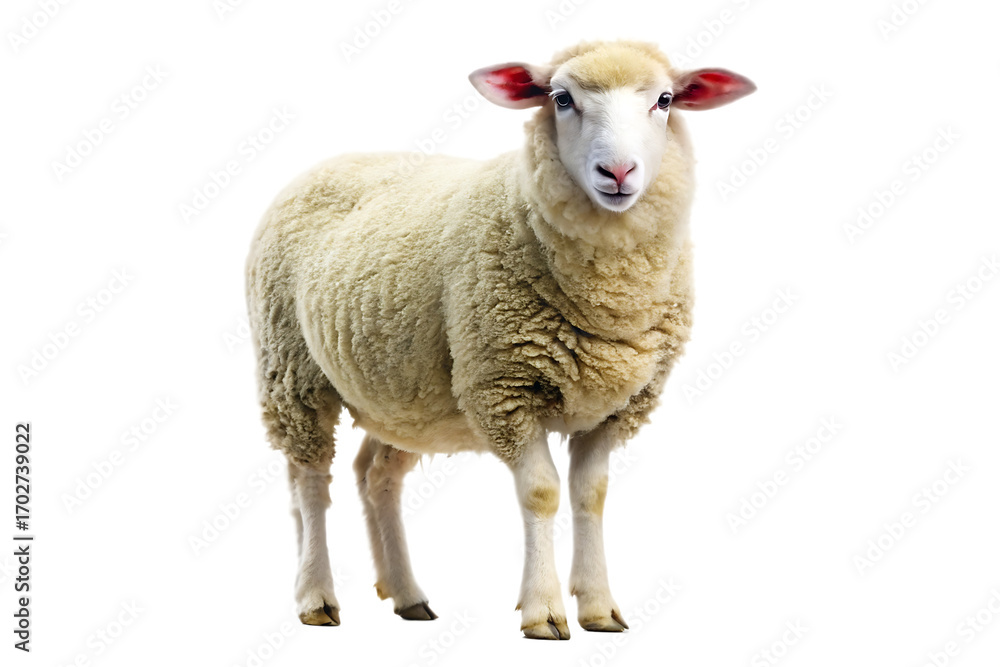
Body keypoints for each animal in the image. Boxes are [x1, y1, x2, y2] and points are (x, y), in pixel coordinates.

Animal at [246, 40, 755, 640]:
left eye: (665, 100)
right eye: (561, 98)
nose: (618, 171)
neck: (608, 298)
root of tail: (331, 160)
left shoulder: (618, 405)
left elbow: (591, 495)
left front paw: (599, 607)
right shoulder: (505, 387)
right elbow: (542, 493)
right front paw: (544, 611)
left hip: (405, 394)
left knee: (376, 477)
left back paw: (408, 595)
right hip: (291, 370)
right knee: (309, 482)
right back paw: (315, 596)